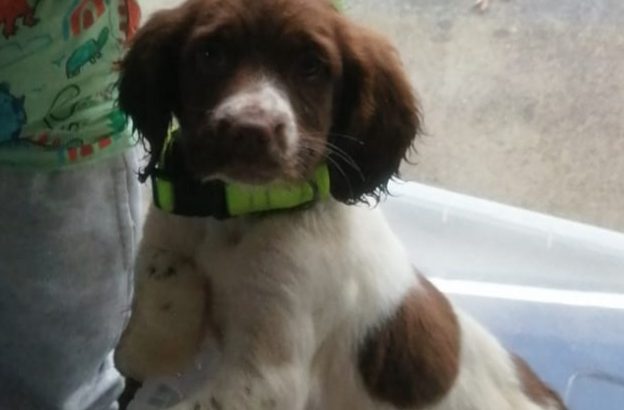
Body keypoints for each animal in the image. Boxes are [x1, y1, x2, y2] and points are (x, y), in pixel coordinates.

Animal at [113, 0, 564, 410]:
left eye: (311, 66)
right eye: (210, 54)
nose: (250, 131)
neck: (241, 214)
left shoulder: (268, 378)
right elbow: (142, 338)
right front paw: (170, 279)